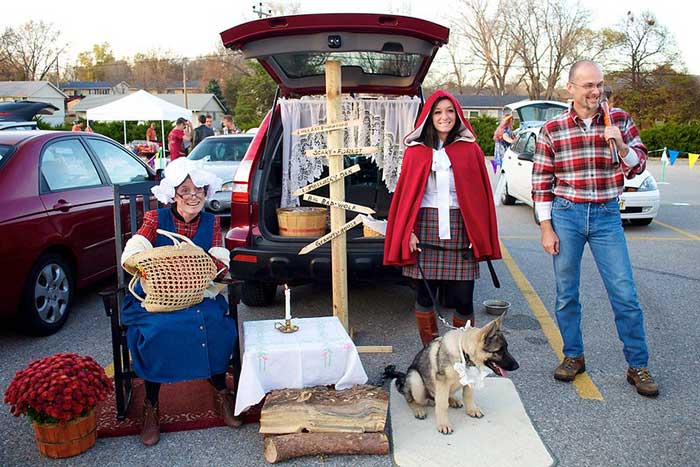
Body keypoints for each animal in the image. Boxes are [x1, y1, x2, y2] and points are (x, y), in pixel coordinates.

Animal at [382, 314, 520, 436]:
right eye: (499, 351)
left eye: (506, 348)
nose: (517, 366)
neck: (463, 352)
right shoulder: (442, 381)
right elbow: (442, 405)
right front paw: (444, 424)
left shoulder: (468, 379)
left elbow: (468, 395)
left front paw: (472, 410)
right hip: (416, 380)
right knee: (412, 399)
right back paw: (418, 408)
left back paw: (452, 400)